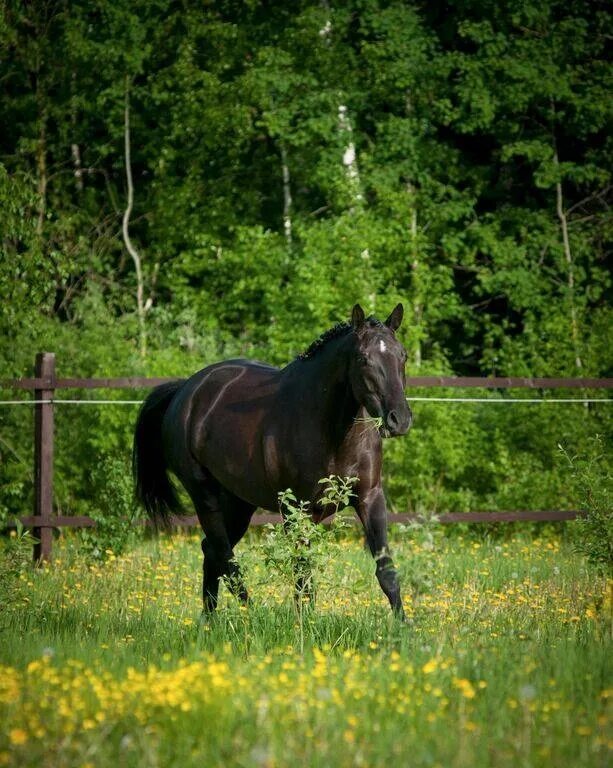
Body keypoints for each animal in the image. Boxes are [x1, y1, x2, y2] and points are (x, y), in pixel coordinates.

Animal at [134, 304, 412, 616]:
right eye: (363, 358)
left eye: (402, 355)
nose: (399, 419)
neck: (331, 428)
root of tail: (185, 391)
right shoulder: (295, 509)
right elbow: (303, 573)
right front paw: (306, 624)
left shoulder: (369, 497)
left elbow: (385, 570)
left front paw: (403, 625)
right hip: (203, 495)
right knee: (225, 557)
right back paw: (248, 614)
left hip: (239, 502)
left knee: (211, 551)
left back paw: (211, 618)